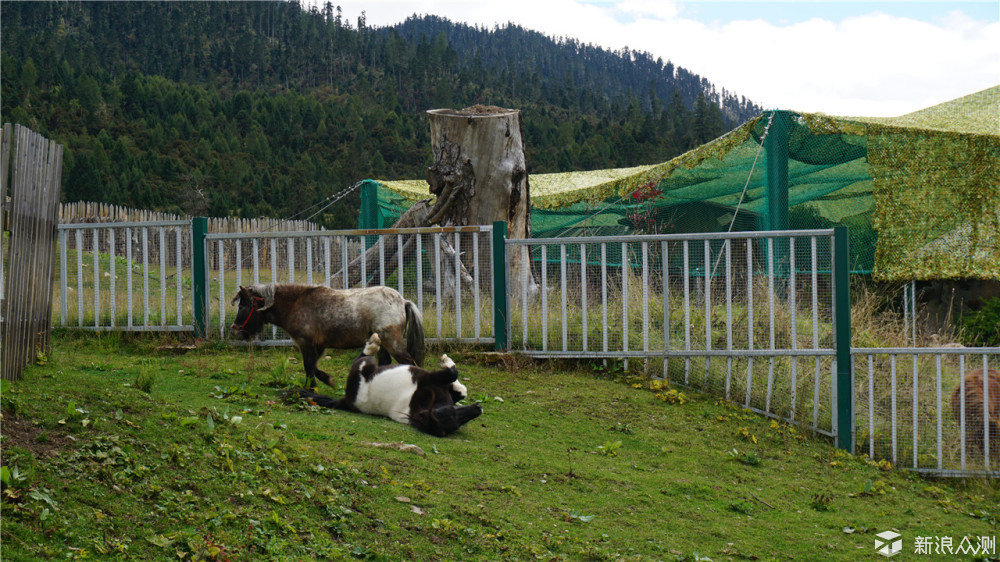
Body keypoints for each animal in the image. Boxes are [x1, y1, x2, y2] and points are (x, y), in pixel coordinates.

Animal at [230, 282, 422, 388]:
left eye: (243, 305)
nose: (235, 330)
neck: (296, 304)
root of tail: (403, 301)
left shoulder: (306, 343)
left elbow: (308, 365)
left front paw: (313, 385)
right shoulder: (318, 346)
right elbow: (313, 366)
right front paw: (325, 379)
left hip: (392, 342)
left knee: (408, 362)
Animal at [298, 332, 482, 438]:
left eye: (457, 423)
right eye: (452, 412)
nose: (479, 408)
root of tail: (347, 401)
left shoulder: (428, 380)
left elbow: (454, 377)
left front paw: (447, 364)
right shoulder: (430, 381)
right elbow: (455, 381)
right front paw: (452, 375)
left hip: (367, 366)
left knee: (362, 357)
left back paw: (372, 343)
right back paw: (373, 342)